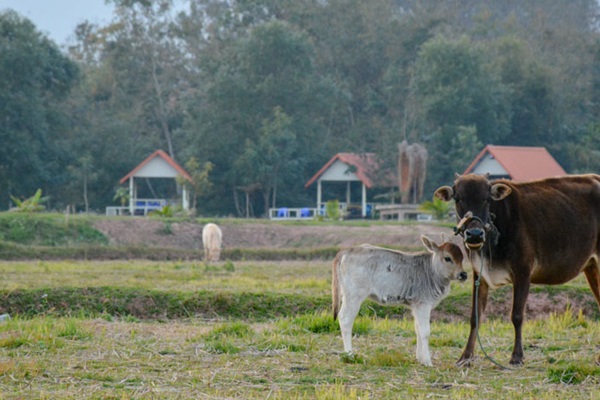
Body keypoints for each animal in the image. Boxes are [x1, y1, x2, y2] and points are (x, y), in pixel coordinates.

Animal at [332, 236, 468, 368]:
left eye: (462, 257)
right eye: (447, 258)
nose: (463, 274)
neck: (432, 271)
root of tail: (348, 250)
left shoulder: (415, 306)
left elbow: (417, 329)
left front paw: (420, 359)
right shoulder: (423, 304)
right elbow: (425, 332)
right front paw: (427, 361)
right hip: (354, 296)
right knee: (345, 319)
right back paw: (349, 355)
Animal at [434, 173, 600, 368]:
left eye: (487, 199)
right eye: (458, 198)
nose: (474, 234)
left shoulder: (523, 271)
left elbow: (517, 315)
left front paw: (517, 356)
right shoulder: (479, 274)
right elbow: (475, 316)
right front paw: (465, 357)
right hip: (592, 267)